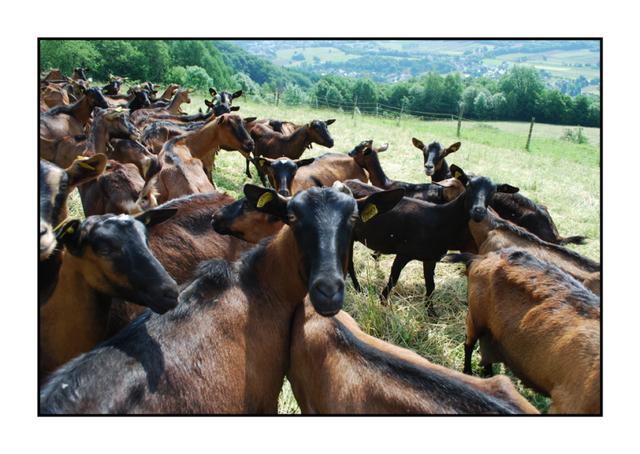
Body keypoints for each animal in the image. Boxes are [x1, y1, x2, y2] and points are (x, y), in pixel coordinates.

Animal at [444, 248, 600, 414]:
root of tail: (481, 257)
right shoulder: (565, 402)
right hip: (475, 316)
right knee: (469, 344)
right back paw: (468, 372)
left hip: (491, 327)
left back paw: (488, 375)